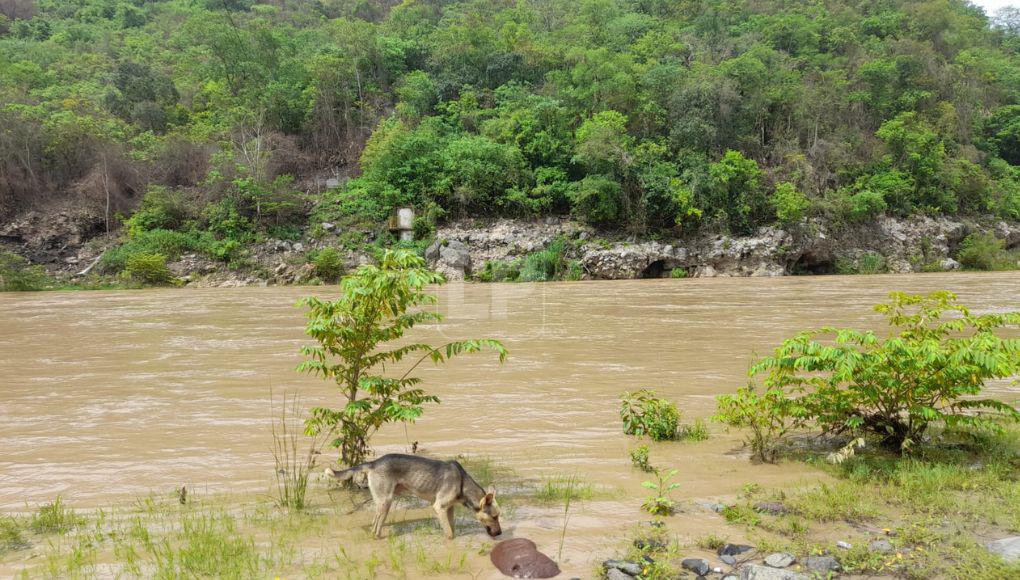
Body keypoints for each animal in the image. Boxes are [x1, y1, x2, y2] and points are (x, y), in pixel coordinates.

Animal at [326, 452, 501, 538]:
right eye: (494, 517)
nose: (499, 533)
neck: (462, 482)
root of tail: (374, 463)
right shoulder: (439, 507)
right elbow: (450, 534)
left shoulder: (449, 509)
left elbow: (451, 529)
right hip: (386, 502)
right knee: (376, 529)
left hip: (381, 503)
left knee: (374, 525)